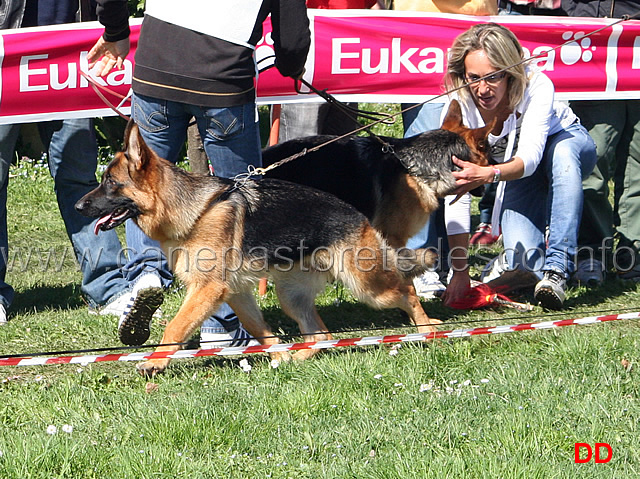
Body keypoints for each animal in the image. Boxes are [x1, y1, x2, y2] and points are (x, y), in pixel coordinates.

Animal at [76, 122, 440, 376]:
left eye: (110, 184)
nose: (78, 206)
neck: (194, 211)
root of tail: (359, 217)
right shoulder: (234, 292)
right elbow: (258, 329)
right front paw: (280, 354)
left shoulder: (207, 289)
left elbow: (175, 326)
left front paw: (155, 362)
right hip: (291, 296)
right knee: (319, 333)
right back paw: (301, 355)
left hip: (368, 286)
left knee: (407, 291)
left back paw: (429, 330)